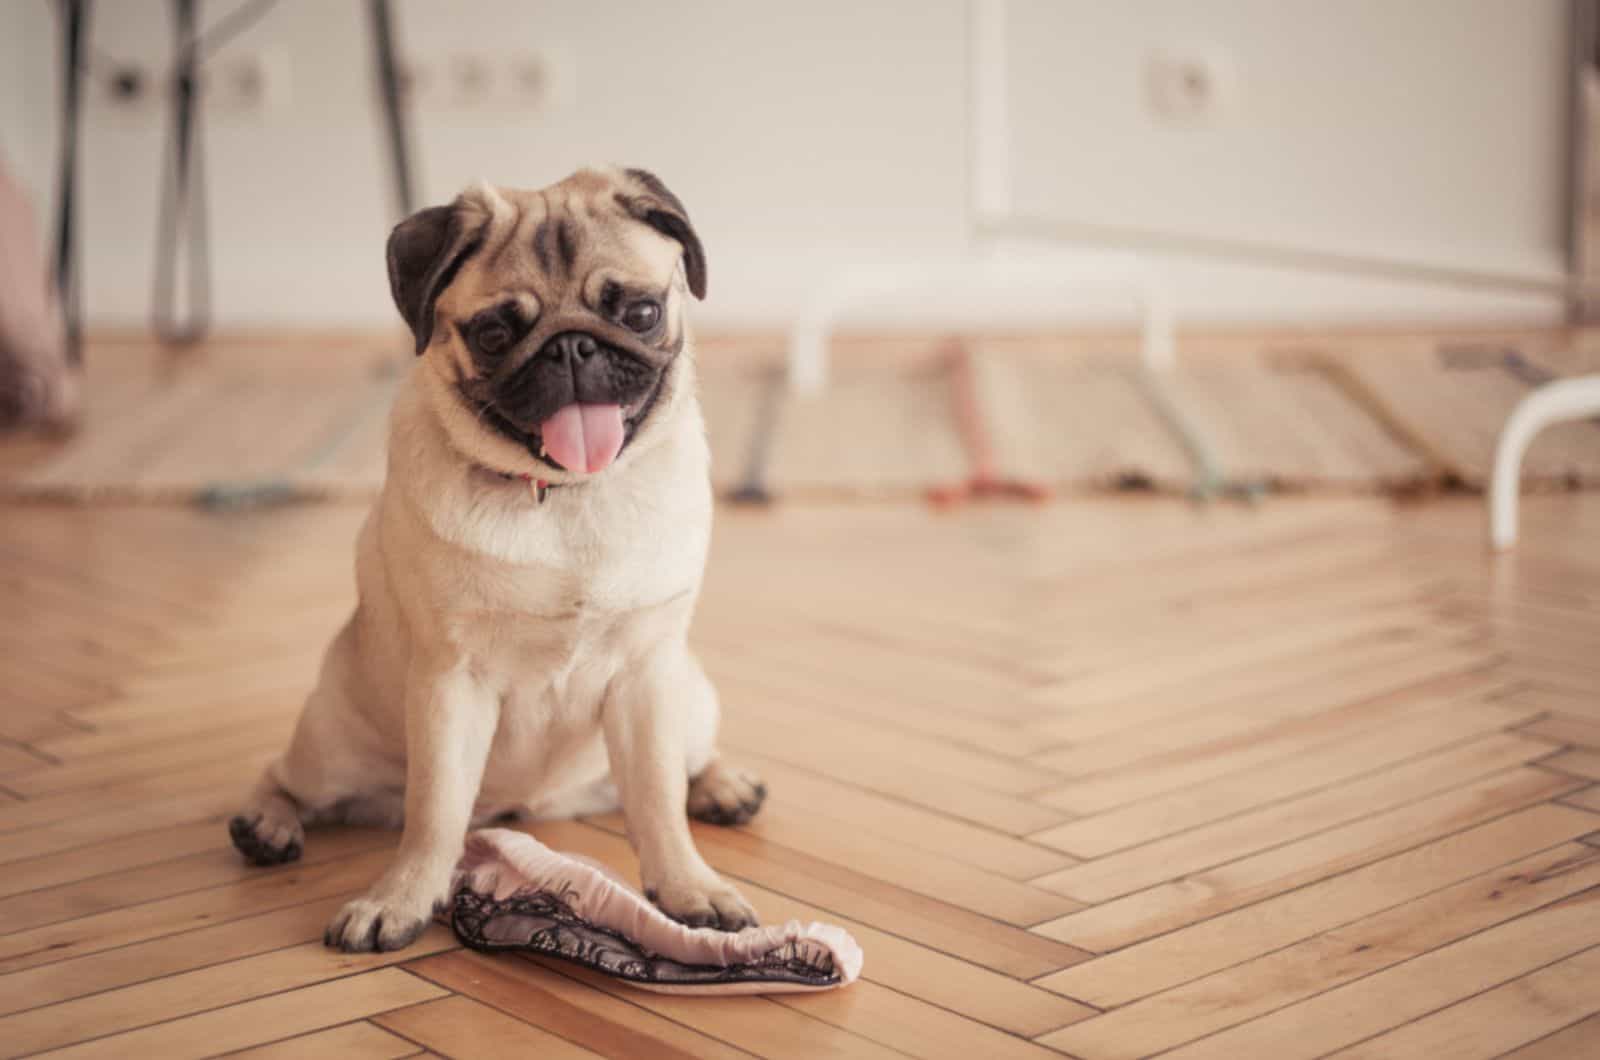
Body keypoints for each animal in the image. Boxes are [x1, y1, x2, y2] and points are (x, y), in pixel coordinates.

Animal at [227, 168, 768, 954]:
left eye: (640, 311)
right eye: (494, 334)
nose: (572, 348)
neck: (567, 496)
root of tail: (525, 808)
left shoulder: (646, 676)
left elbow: (657, 797)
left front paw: (689, 887)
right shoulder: (450, 683)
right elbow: (434, 812)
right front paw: (401, 898)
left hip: (690, 692)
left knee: (686, 762)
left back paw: (724, 786)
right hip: (329, 744)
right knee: (287, 778)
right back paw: (265, 825)